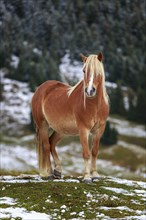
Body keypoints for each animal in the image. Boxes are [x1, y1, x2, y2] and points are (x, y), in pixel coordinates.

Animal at [31, 52, 109, 183]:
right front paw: (87, 177)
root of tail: (40, 89)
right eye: (84, 70)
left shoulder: (99, 129)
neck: (94, 105)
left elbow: (94, 151)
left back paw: (58, 171)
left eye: (98, 71)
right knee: (46, 146)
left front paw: (95, 174)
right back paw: (49, 173)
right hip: (43, 126)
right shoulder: (83, 130)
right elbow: (86, 153)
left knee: (51, 143)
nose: (89, 91)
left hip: (61, 130)